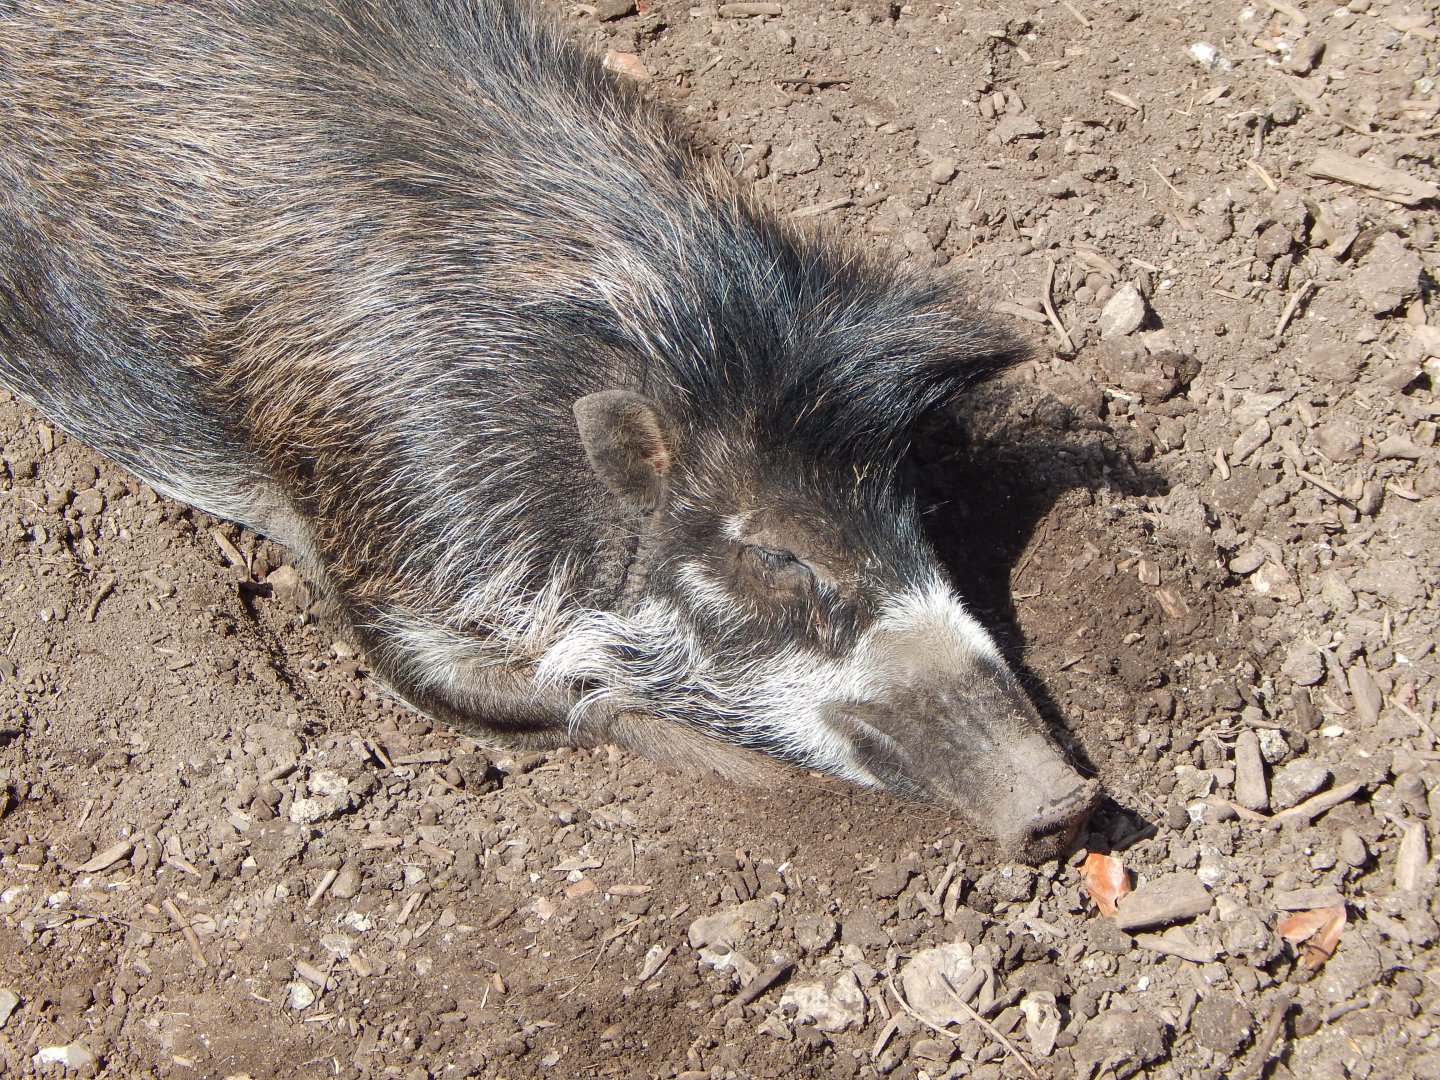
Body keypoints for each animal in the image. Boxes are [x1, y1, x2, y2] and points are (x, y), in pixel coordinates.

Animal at [0, 0, 1097, 860]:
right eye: (775, 553)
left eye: (916, 521)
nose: (1069, 801)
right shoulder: (383, 544)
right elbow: (523, 692)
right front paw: (749, 777)